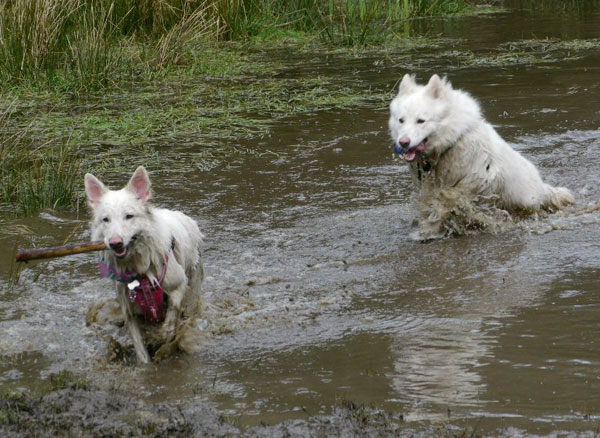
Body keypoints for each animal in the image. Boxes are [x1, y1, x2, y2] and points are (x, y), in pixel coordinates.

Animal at [84, 165, 204, 362]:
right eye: (105, 219)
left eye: (129, 216)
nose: (115, 243)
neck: (139, 269)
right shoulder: (129, 309)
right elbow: (140, 348)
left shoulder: (178, 287)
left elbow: (169, 323)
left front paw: (161, 342)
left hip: (193, 284)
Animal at [390, 75, 576, 240]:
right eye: (401, 120)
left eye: (421, 121)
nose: (403, 142)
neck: (447, 145)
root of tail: (541, 186)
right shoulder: (426, 185)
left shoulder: (480, 175)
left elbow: (449, 199)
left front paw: (433, 226)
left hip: (523, 200)